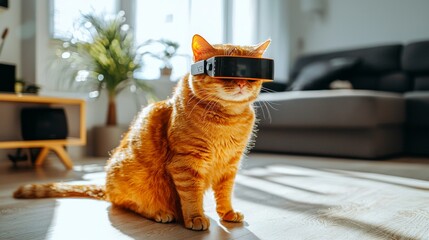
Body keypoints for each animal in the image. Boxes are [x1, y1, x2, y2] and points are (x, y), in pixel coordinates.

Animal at [15, 33, 270, 231]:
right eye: (225, 71)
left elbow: (225, 194)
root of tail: (106, 186)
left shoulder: (230, 166)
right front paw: (196, 217)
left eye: (251, 74)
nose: (241, 83)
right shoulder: (186, 164)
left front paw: (227, 213)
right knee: (127, 204)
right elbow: (191, 196)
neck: (227, 120)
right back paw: (160, 212)